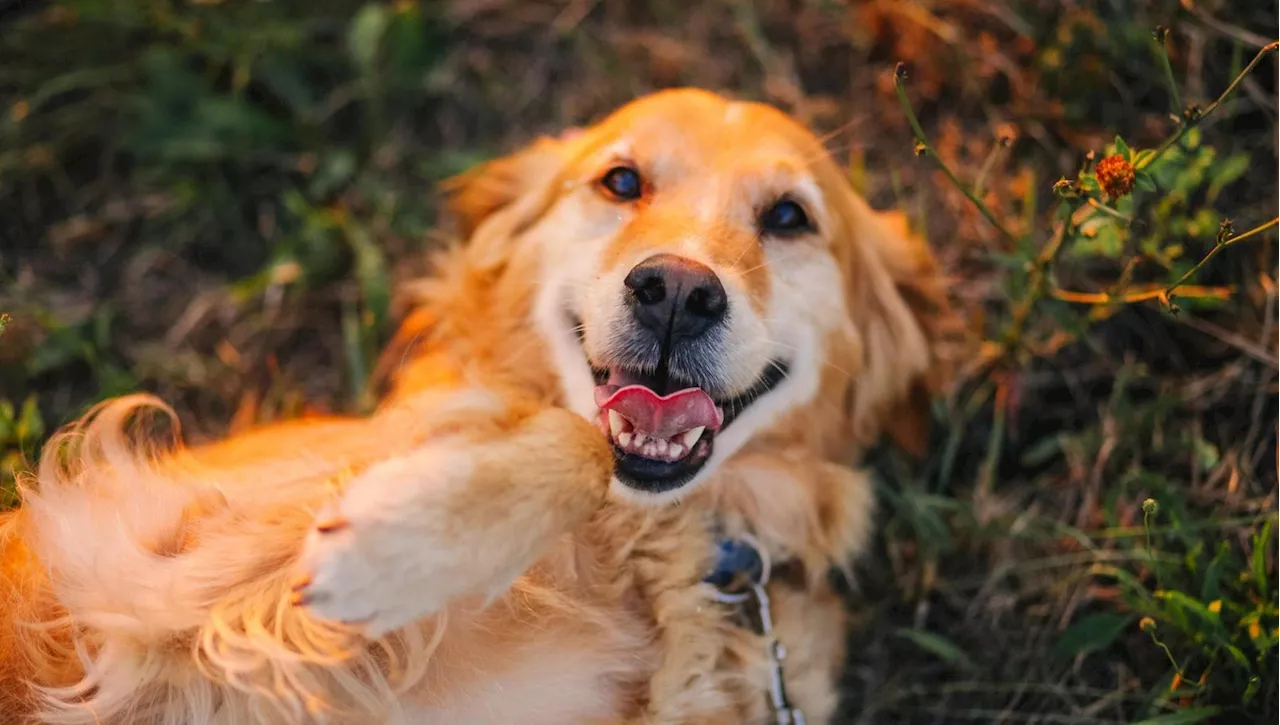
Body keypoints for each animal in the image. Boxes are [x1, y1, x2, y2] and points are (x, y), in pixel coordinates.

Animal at [0, 88, 957, 722]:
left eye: (790, 216)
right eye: (621, 182)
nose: (678, 293)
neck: (666, 548)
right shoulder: (153, 560)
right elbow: (577, 442)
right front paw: (392, 548)